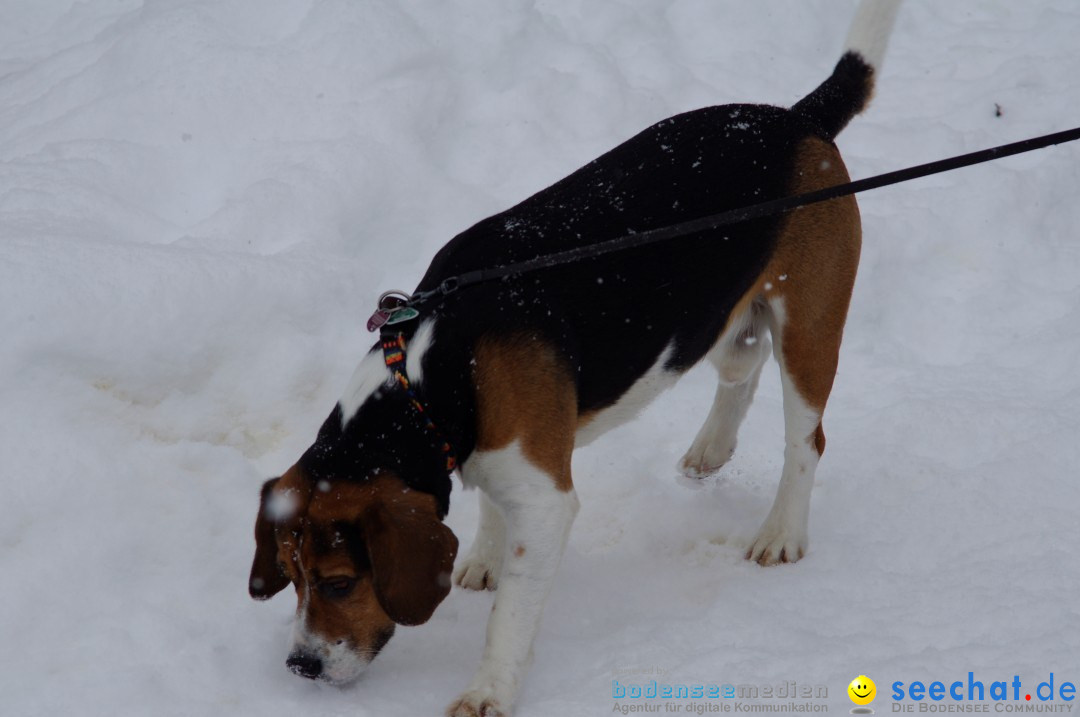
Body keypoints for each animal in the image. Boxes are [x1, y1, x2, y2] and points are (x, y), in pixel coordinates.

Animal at [245, 2, 902, 712]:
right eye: (290, 576)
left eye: (338, 582)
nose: (301, 667)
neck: (433, 375)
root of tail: (797, 119)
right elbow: (490, 509)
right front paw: (483, 556)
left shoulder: (545, 502)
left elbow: (510, 615)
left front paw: (489, 689)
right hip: (720, 320)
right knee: (741, 369)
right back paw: (711, 449)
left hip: (809, 328)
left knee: (806, 440)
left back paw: (781, 532)